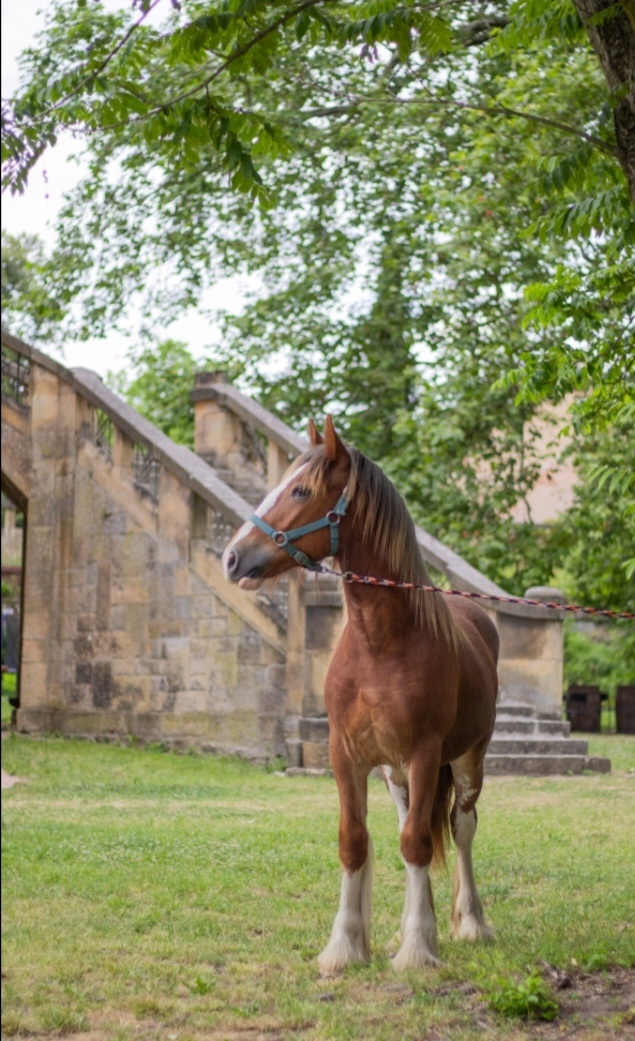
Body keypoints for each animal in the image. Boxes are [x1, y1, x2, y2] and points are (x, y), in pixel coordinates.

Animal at [222, 415, 498, 974]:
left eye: (301, 490)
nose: (232, 557)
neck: (382, 645)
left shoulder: (424, 752)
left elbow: (418, 844)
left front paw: (417, 950)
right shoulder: (346, 754)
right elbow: (357, 842)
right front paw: (347, 945)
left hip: (467, 760)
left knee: (459, 828)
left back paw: (469, 922)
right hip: (395, 774)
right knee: (409, 825)